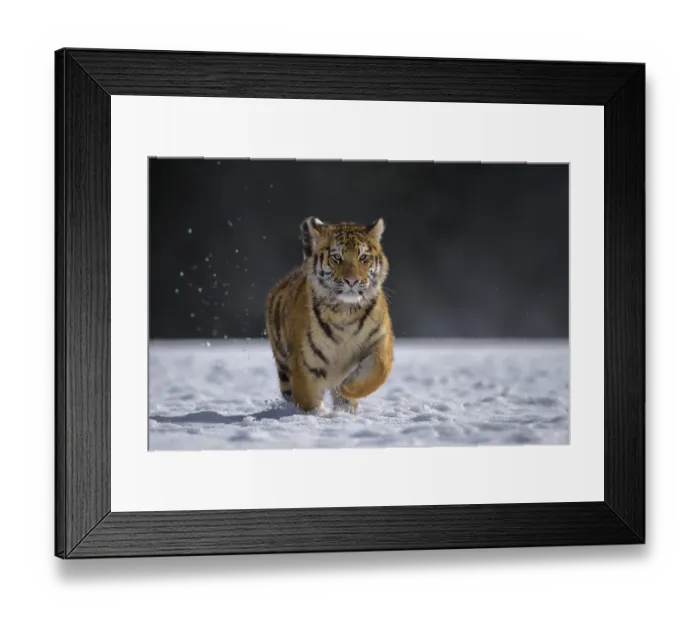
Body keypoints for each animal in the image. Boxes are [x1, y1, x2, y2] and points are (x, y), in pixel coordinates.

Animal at [265, 217, 394, 414]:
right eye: (336, 258)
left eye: (363, 258)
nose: (352, 281)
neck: (345, 311)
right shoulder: (305, 363)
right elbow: (308, 400)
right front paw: (317, 415)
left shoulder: (380, 339)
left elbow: (380, 369)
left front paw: (347, 387)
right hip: (283, 364)